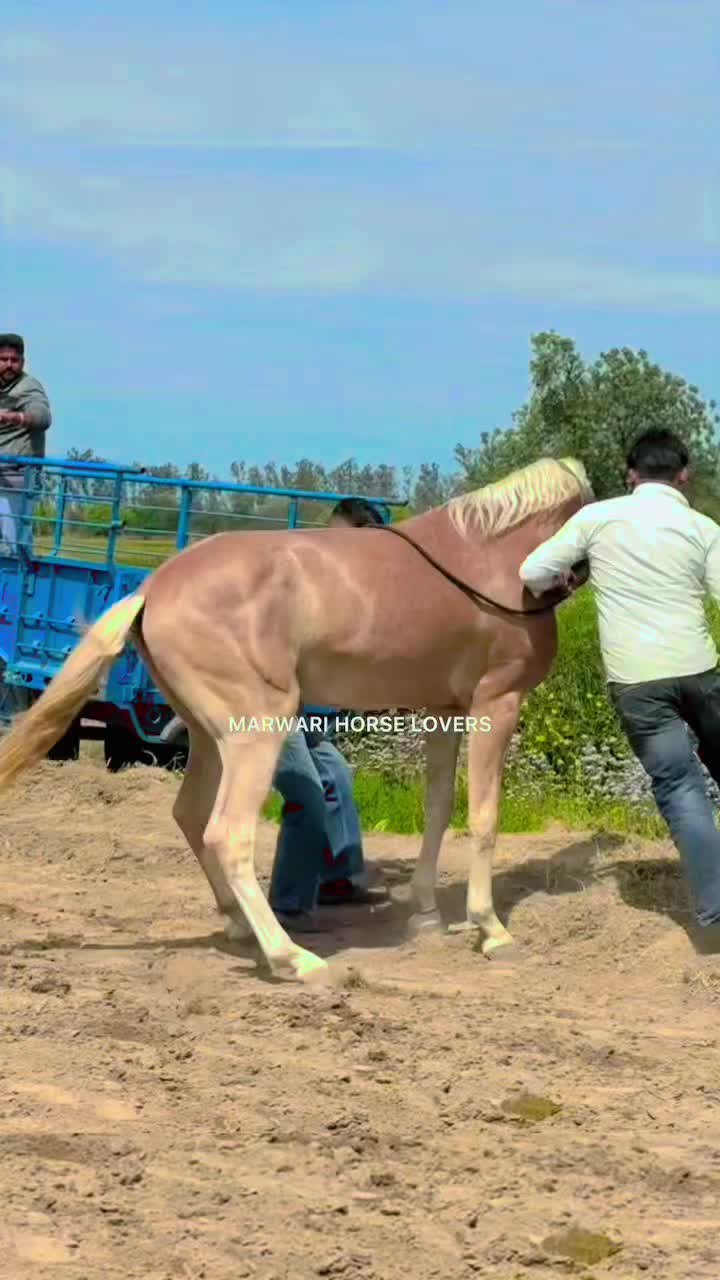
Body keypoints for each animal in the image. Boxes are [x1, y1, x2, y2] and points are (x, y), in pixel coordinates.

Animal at [0, 456, 593, 983]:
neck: (488, 560)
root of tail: (153, 588)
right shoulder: (497, 703)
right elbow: (485, 818)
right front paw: (491, 929)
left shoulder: (442, 711)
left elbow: (438, 809)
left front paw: (426, 914)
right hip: (258, 732)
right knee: (228, 833)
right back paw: (292, 958)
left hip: (210, 738)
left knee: (190, 815)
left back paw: (241, 927)